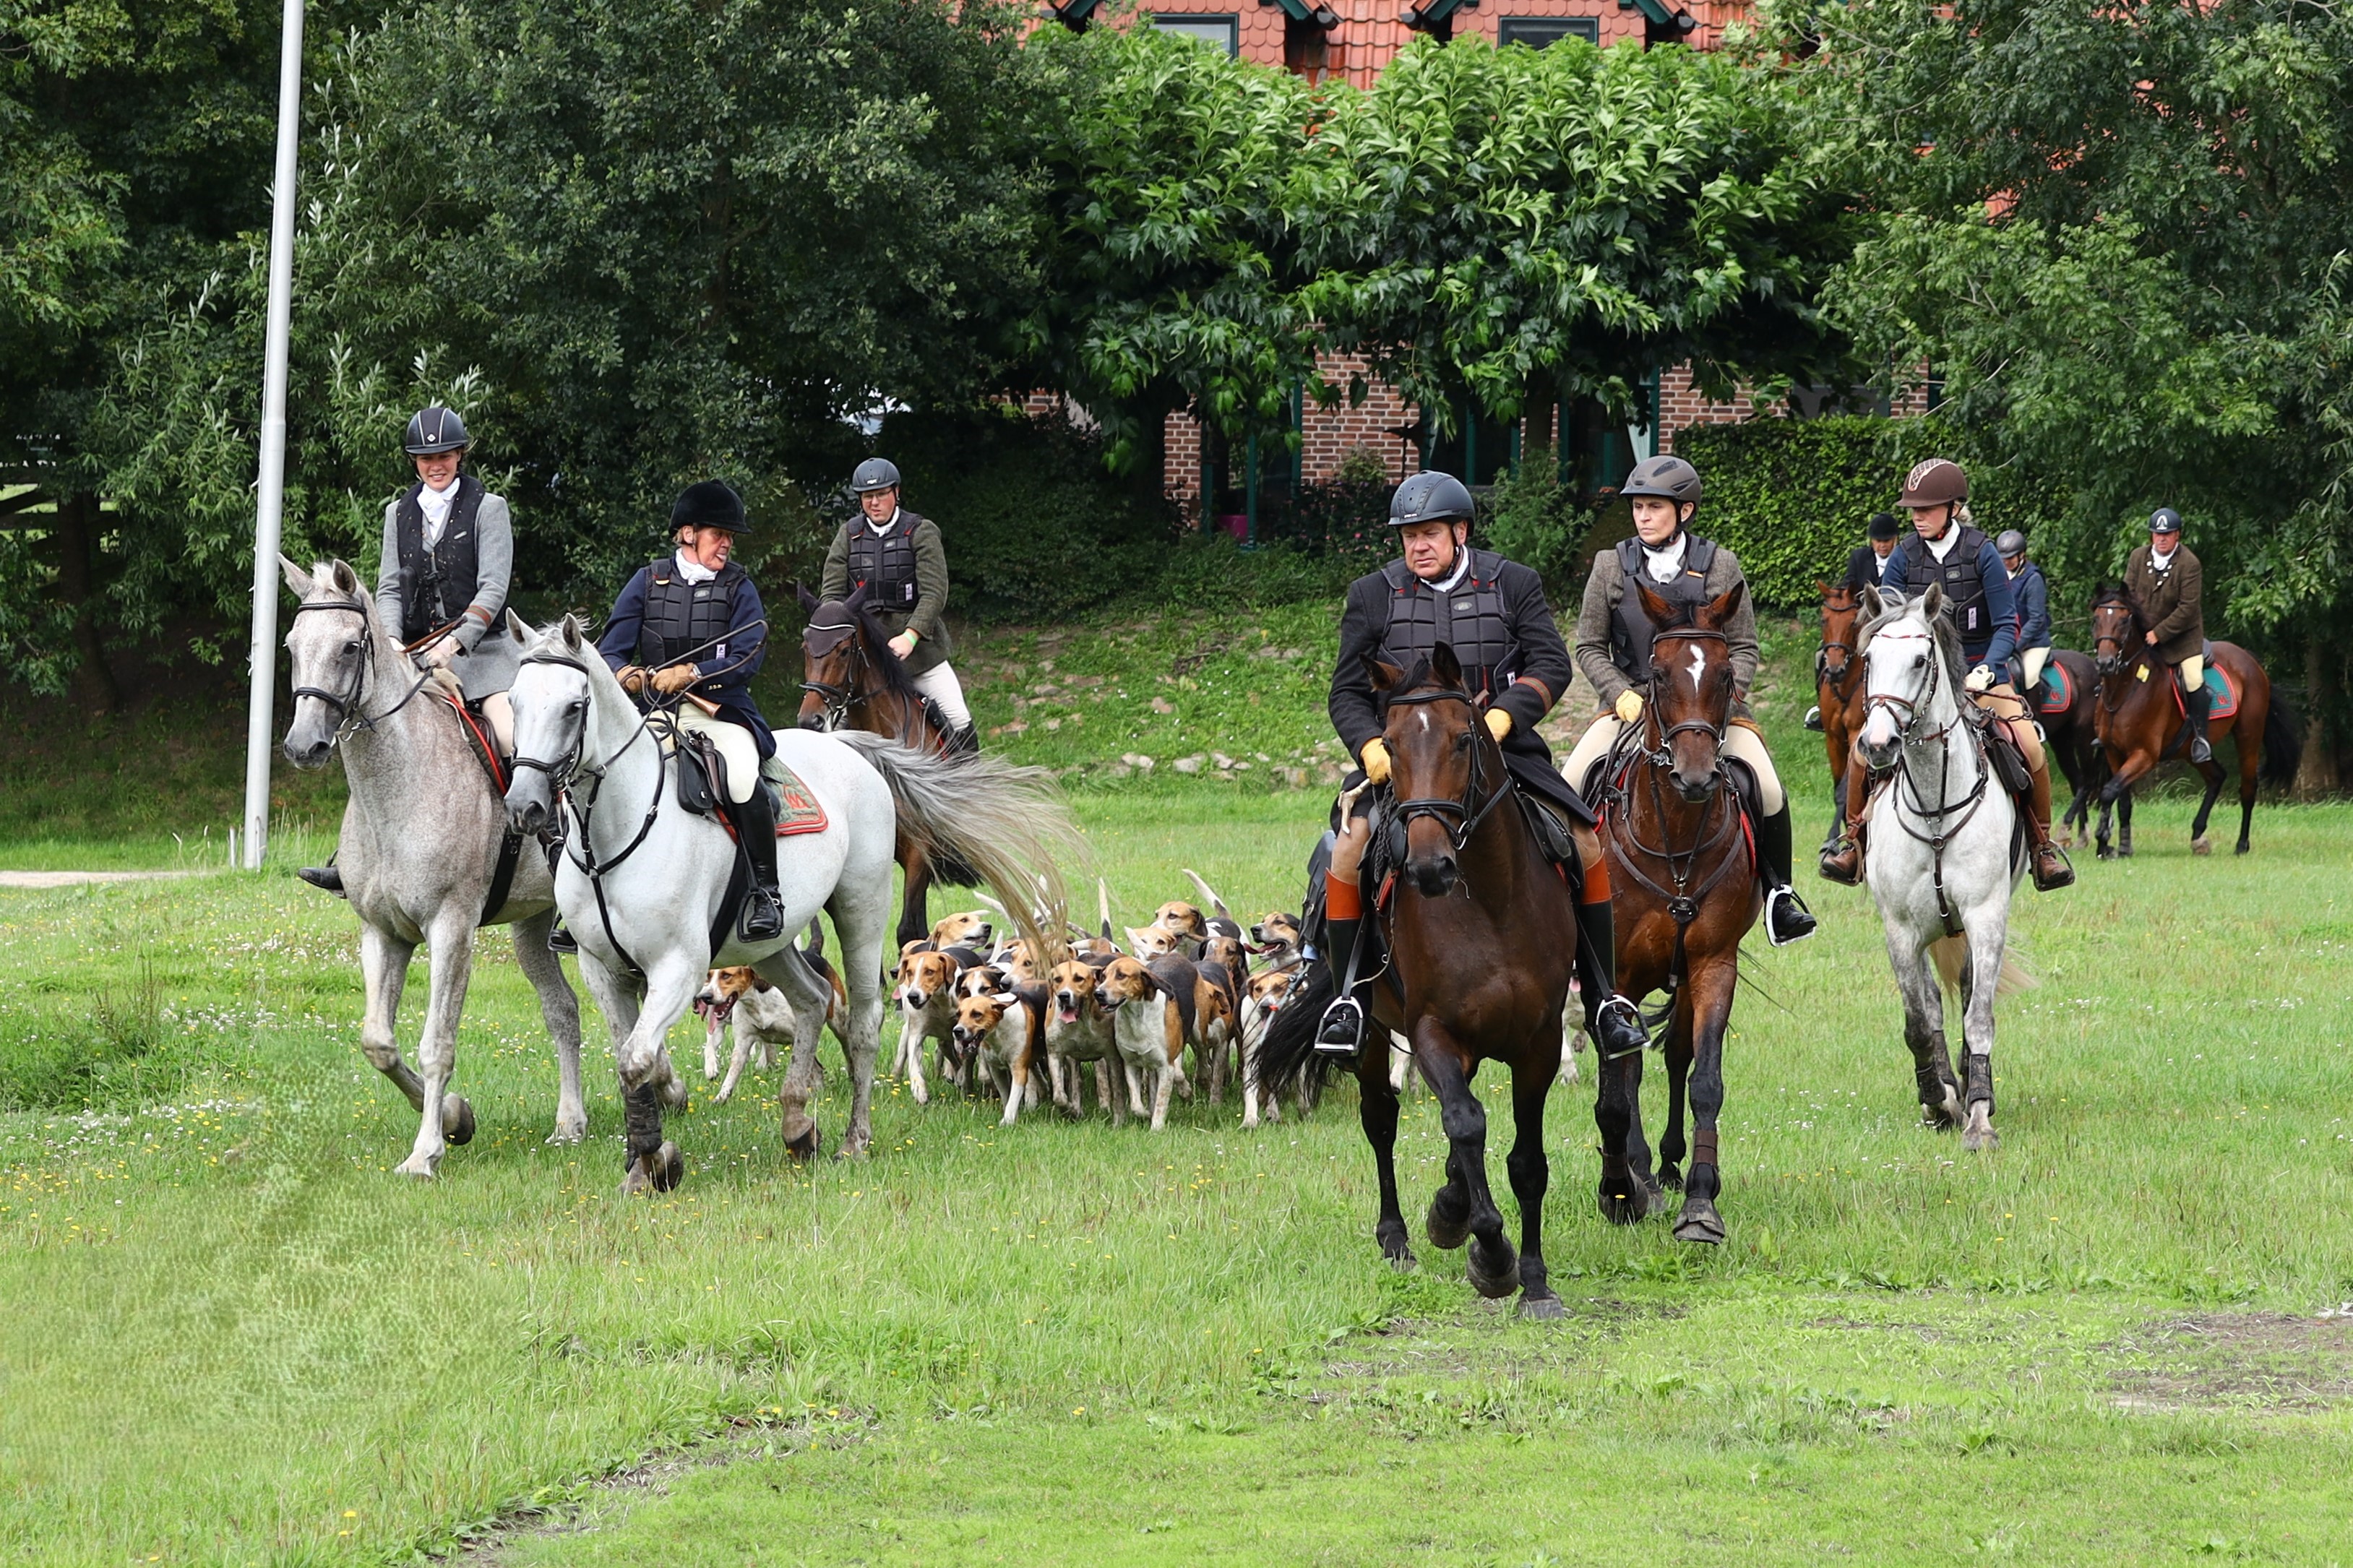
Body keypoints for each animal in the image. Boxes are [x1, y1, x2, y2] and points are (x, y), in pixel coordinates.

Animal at [277, 557, 586, 1178]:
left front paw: (425, 1153)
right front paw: (455, 1117)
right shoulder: (383, 933)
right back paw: (571, 1123)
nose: (303, 746)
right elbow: (378, 1042)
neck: (398, 789)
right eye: (292, 646)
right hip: (533, 926)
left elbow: (436, 1043)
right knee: (564, 1011)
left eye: (350, 647)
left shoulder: (451, 929)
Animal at [1259, 643, 1579, 1320]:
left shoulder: (1537, 1044)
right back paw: (1400, 1238)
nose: (1429, 866)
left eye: (1463, 740)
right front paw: (1489, 1252)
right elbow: (1463, 1123)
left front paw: (1534, 1282)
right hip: (1376, 1034)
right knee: (1383, 1118)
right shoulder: (1431, 1031)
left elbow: (1525, 1161)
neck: (1489, 901)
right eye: (1391, 745)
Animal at [1590, 581, 1760, 1245]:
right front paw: (1621, 1192)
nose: (1694, 776)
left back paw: (1662, 1166)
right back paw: (1636, 1173)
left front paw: (1700, 1203)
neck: (1676, 845)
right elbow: (1616, 1090)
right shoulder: (1617, 973)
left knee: (1672, 1056)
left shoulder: (1713, 963)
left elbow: (1703, 1080)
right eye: (1657, 675)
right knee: (1627, 1070)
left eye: (1724, 675)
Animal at [1855, 585, 2027, 1153]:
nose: (1878, 745)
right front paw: (1938, 1099)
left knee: (1971, 991)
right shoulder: (1900, 931)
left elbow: (1979, 1017)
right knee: (1931, 1004)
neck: (1935, 805)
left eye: (1919, 659)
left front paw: (1978, 1118)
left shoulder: (1986, 916)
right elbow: (1917, 1022)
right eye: (1868, 659)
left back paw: (1975, 1086)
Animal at [2087, 585, 2298, 858]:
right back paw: (2198, 836)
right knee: (2217, 776)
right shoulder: (2114, 753)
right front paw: (2120, 847)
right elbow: (2121, 801)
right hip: (2191, 750)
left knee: (2248, 788)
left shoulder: (2144, 755)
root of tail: (2250, 661)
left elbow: (2109, 792)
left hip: (2248, 735)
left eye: (2124, 621)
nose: (2105, 664)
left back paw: (2241, 845)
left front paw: (2104, 841)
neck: (2124, 691)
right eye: (2096, 620)